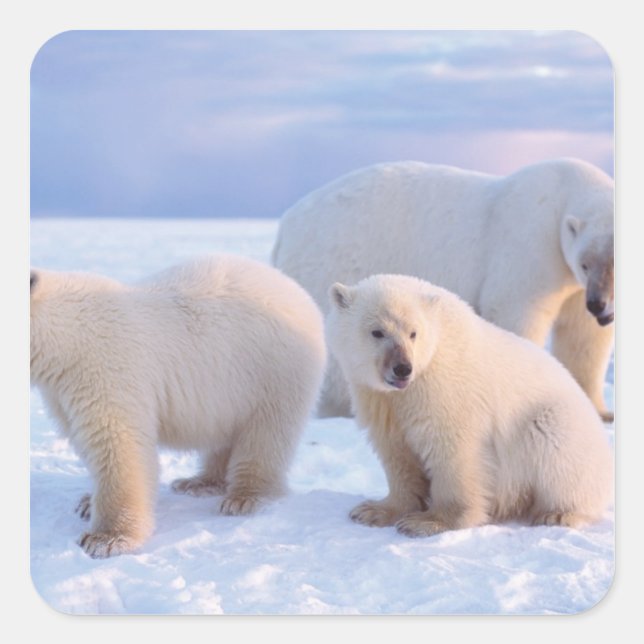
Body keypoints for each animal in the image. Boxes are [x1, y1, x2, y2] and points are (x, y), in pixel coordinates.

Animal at [30, 255, 327, 558]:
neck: (67, 336)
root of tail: (298, 292)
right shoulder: (62, 391)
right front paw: (88, 503)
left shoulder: (106, 370)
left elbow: (117, 445)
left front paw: (105, 538)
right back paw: (198, 482)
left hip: (273, 371)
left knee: (267, 433)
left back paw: (245, 498)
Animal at [272, 158, 615, 421]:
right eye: (586, 263)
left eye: (614, 264)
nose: (601, 307)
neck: (562, 191)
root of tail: (286, 225)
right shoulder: (531, 247)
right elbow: (518, 314)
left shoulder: (572, 285)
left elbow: (584, 338)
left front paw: (599, 410)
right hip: (336, 260)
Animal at [325, 273, 613, 537]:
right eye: (377, 332)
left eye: (413, 332)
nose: (403, 368)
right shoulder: (379, 399)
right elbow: (396, 453)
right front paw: (373, 510)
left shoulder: (443, 390)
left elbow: (453, 452)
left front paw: (427, 522)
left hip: (560, 424)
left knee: (554, 446)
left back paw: (558, 513)